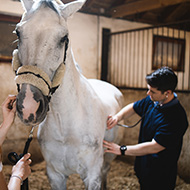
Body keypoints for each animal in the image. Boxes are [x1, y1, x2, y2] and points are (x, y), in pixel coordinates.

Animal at [12, 0, 124, 189]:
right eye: (18, 32)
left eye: (64, 37)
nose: (29, 106)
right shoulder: (55, 175)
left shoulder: (92, 176)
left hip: (108, 158)